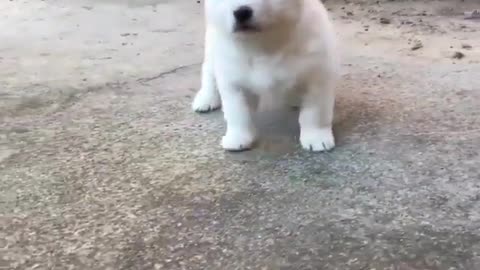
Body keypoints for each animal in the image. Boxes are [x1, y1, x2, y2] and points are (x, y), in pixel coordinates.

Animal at [193, 0, 340, 152]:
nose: (241, 12)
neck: (262, 43)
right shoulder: (233, 78)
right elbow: (237, 111)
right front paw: (237, 137)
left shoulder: (317, 73)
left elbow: (315, 112)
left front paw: (316, 137)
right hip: (212, 47)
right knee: (209, 71)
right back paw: (206, 98)